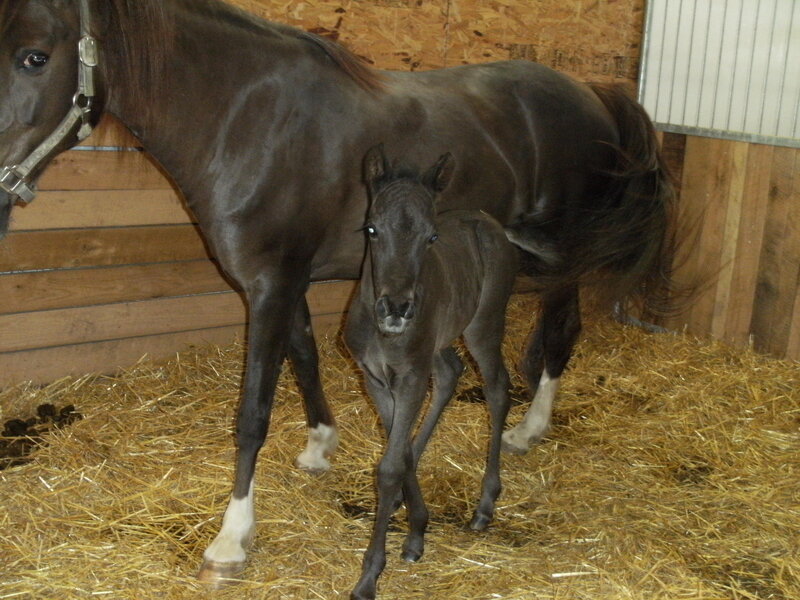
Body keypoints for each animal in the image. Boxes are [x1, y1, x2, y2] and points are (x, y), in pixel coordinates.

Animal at [344, 146, 518, 599]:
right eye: (371, 229)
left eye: (432, 238)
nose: (397, 308)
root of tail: (488, 220)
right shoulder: (375, 378)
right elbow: (399, 451)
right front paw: (415, 530)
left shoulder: (409, 377)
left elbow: (390, 466)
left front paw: (369, 576)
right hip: (439, 344)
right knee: (451, 371)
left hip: (483, 325)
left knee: (497, 389)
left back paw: (484, 506)